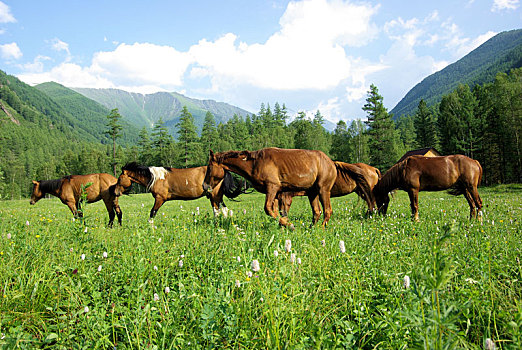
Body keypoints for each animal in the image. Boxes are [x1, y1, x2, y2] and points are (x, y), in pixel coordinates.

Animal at [112, 162, 241, 221]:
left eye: (119, 179)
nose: (115, 193)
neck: (155, 178)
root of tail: (222, 171)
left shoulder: (160, 198)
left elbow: (152, 212)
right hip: (214, 196)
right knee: (219, 210)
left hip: (215, 195)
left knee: (220, 209)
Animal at [201, 147, 336, 227]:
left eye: (209, 168)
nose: (204, 185)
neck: (255, 163)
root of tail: (331, 162)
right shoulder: (276, 194)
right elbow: (276, 211)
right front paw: (283, 225)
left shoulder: (272, 188)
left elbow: (268, 209)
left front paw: (288, 224)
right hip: (312, 193)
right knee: (317, 212)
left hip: (323, 190)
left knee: (327, 211)